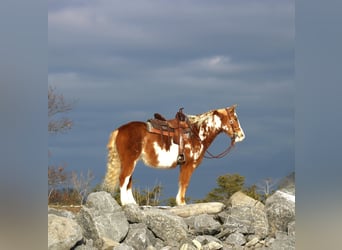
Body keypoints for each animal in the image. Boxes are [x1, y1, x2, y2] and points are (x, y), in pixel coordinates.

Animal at [103, 103, 244, 205]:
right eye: (235, 118)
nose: (241, 136)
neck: (195, 133)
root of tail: (119, 129)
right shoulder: (189, 165)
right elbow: (185, 183)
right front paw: (182, 203)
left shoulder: (183, 165)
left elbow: (181, 183)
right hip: (129, 161)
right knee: (124, 179)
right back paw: (125, 204)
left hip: (130, 162)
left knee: (128, 181)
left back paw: (132, 204)